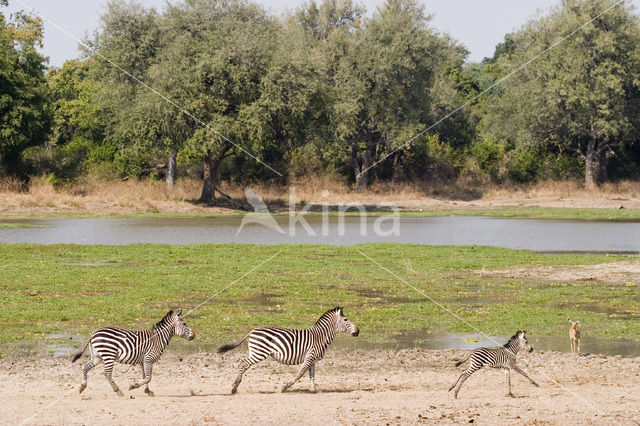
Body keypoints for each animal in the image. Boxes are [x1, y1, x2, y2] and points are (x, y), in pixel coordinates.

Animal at [219, 306, 360, 392]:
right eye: (346, 319)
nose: (358, 331)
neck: (320, 337)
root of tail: (252, 330)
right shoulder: (310, 357)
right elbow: (300, 373)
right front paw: (285, 387)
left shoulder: (313, 359)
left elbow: (312, 375)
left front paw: (314, 390)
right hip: (259, 353)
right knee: (243, 363)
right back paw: (234, 388)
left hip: (255, 352)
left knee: (245, 365)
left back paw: (236, 385)